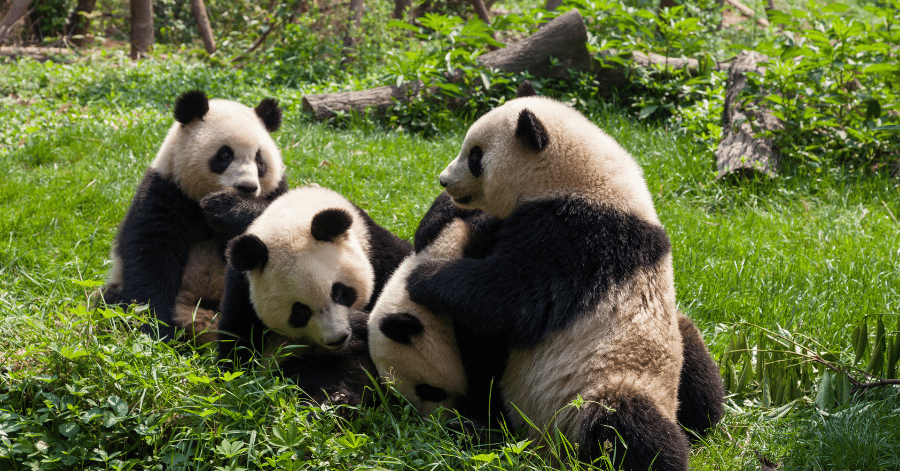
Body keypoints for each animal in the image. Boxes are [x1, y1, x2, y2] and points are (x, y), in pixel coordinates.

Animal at [103, 90, 288, 343]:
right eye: (225, 155)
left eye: (259, 159)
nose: (247, 187)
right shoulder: (166, 194)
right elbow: (151, 257)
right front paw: (159, 329)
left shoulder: (277, 192)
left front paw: (229, 207)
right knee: (107, 302)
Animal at [216, 185, 412, 405]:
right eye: (300, 311)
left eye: (339, 292)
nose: (337, 339)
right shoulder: (242, 290)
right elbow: (237, 348)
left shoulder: (378, 251)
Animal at [405, 84, 723, 470]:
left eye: (475, 157)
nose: (444, 180)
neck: (579, 178)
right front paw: (439, 216)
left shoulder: (583, 239)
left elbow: (514, 299)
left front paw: (425, 278)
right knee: (696, 363)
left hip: (597, 391)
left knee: (628, 427)